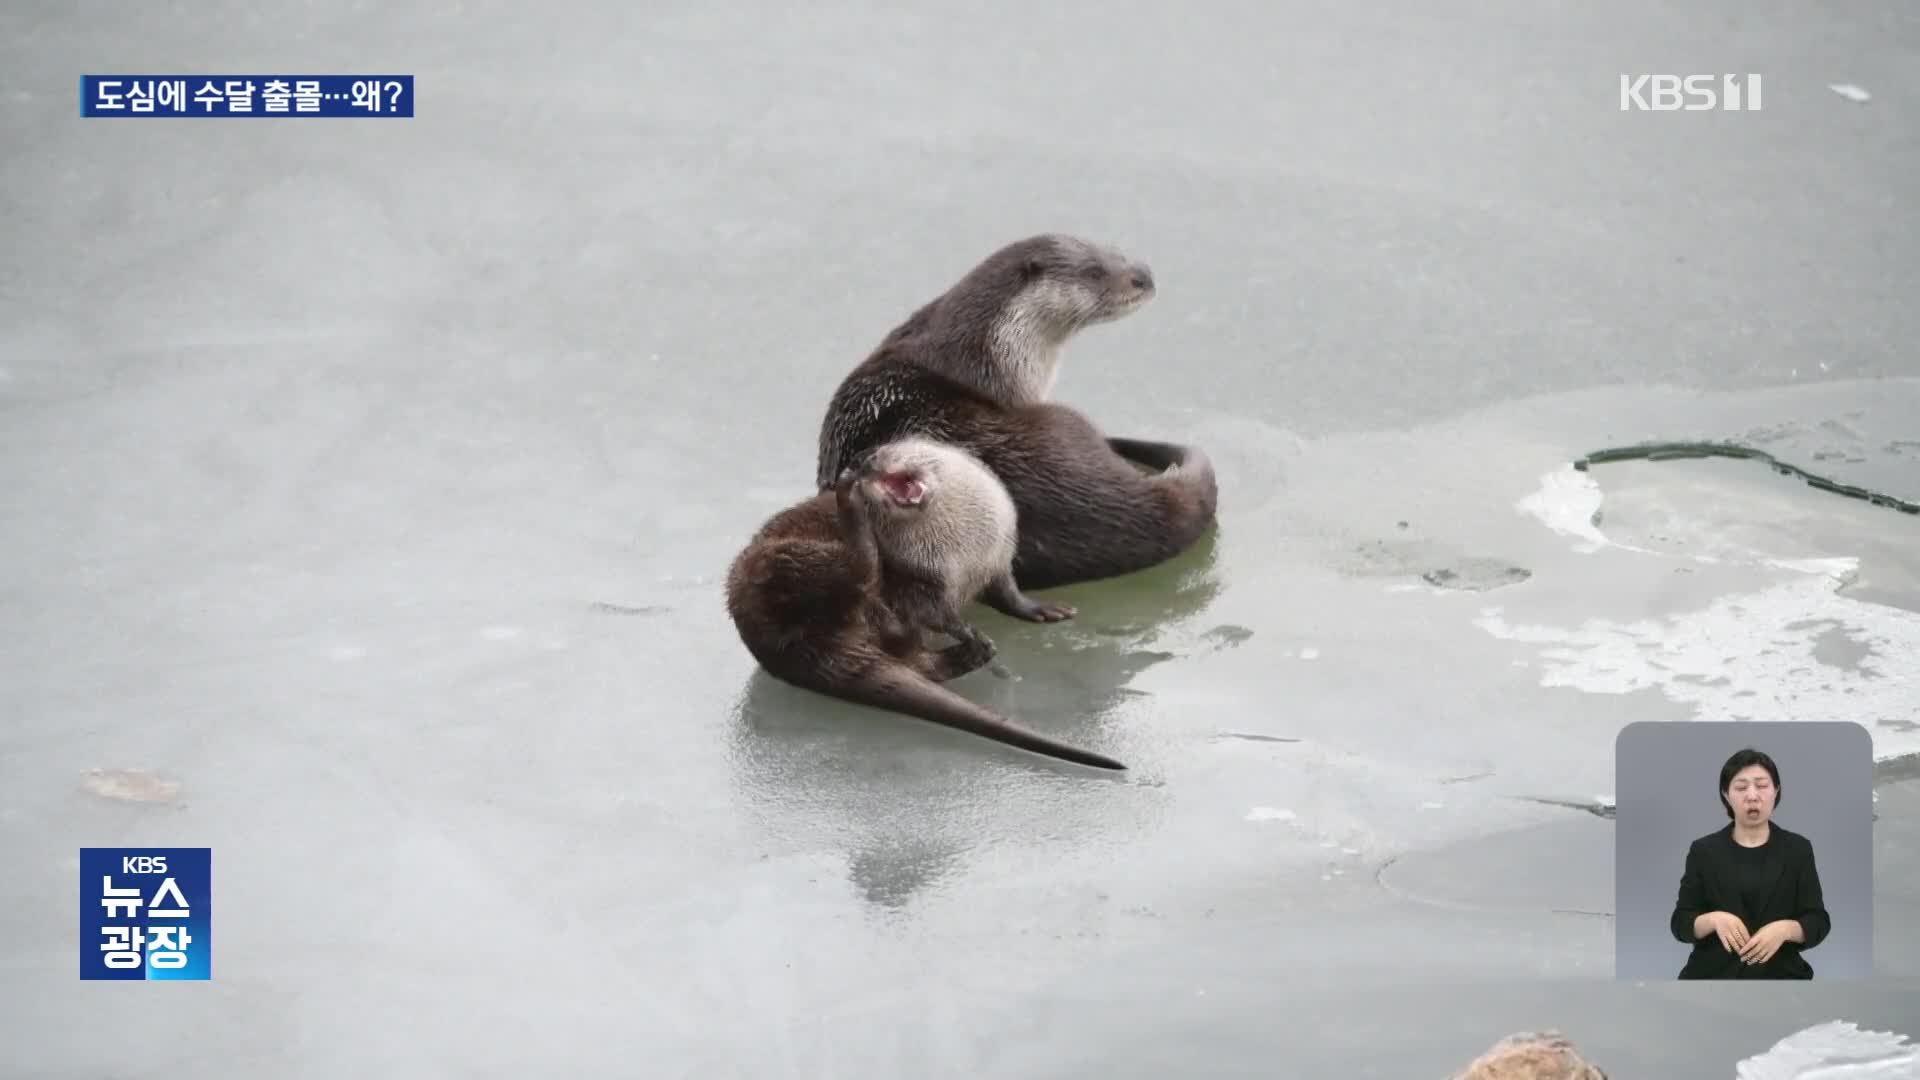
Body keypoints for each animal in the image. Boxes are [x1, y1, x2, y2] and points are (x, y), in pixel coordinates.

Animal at [729, 432, 1121, 768]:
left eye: (880, 450)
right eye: (865, 460)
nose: (860, 463)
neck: (962, 553)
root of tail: (778, 646)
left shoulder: (997, 556)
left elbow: (1008, 593)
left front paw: (1041, 609)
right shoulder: (919, 579)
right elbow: (936, 611)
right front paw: (963, 628)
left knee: (914, 657)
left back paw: (973, 655)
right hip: (781, 563)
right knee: (860, 573)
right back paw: (849, 507)